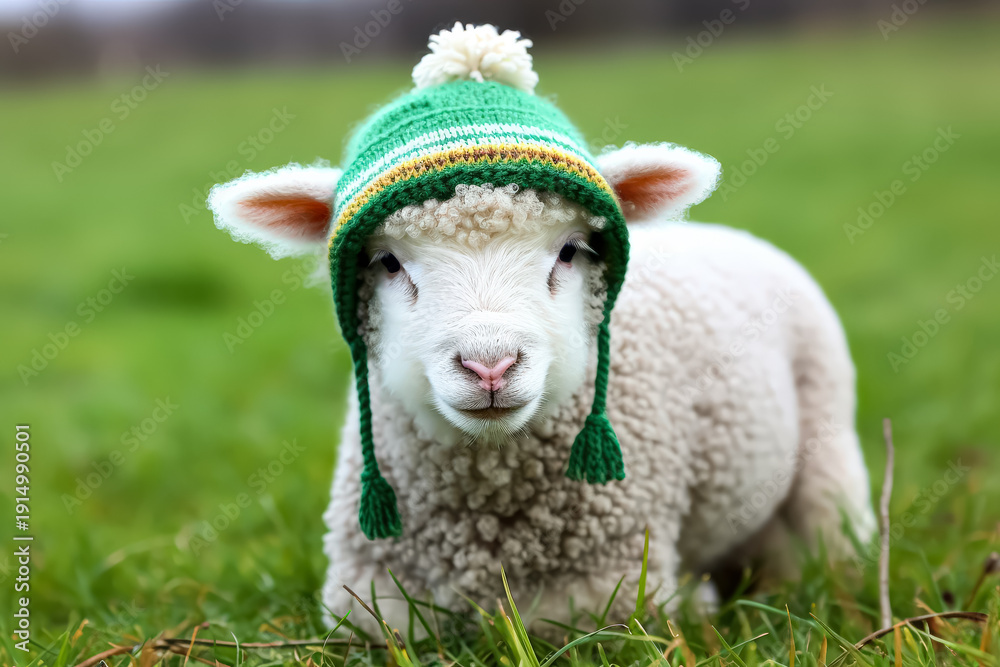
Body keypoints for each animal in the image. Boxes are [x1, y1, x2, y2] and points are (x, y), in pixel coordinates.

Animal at [207, 22, 876, 636]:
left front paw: (695, 604)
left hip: (828, 428)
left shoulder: (609, 592)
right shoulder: (368, 596)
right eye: (387, 262)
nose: (490, 366)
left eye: (571, 250)